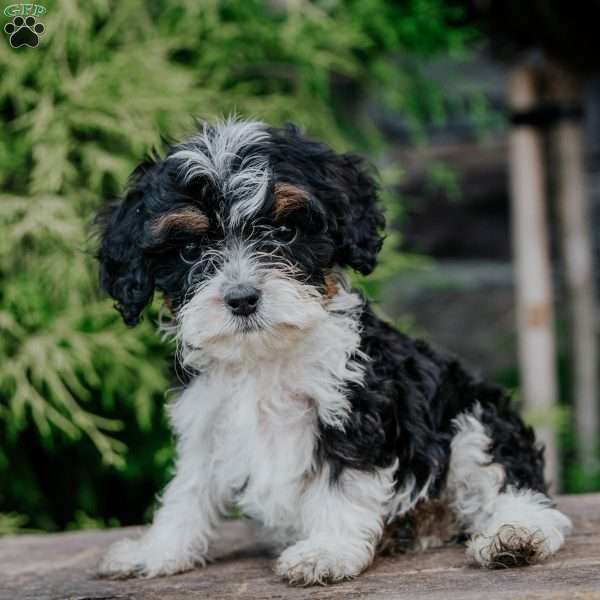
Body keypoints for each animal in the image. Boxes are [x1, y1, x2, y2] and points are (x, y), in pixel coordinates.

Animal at [96, 118, 568, 584]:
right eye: (190, 249)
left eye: (285, 232)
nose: (242, 298)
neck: (263, 356)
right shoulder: (206, 422)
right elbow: (187, 491)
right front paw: (157, 551)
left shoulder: (355, 407)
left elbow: (341, 481)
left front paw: (326, 551)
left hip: (473, 418)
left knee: (510, 483)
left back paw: (515, 537)